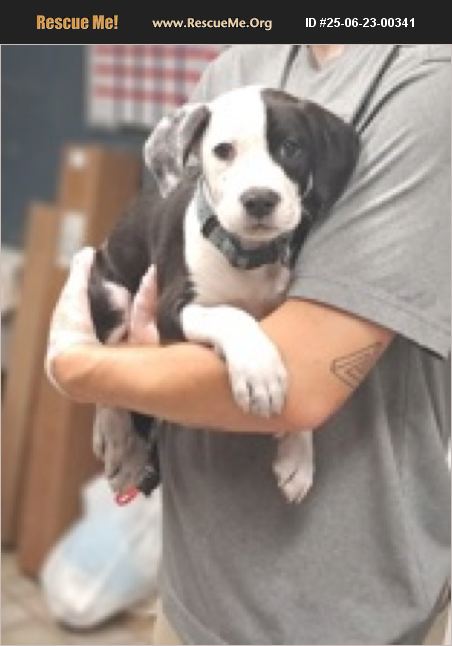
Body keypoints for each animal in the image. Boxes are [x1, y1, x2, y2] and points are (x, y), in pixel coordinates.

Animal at [88, 86, 359, 503]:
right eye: (223, 150)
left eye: (291, 147)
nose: (259, 199)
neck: (248, 257)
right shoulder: (172, 308)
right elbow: (232, 315)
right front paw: (259, 371)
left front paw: (298, 454)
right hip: (112, 293)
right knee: (108, 369)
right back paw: (118, 441)